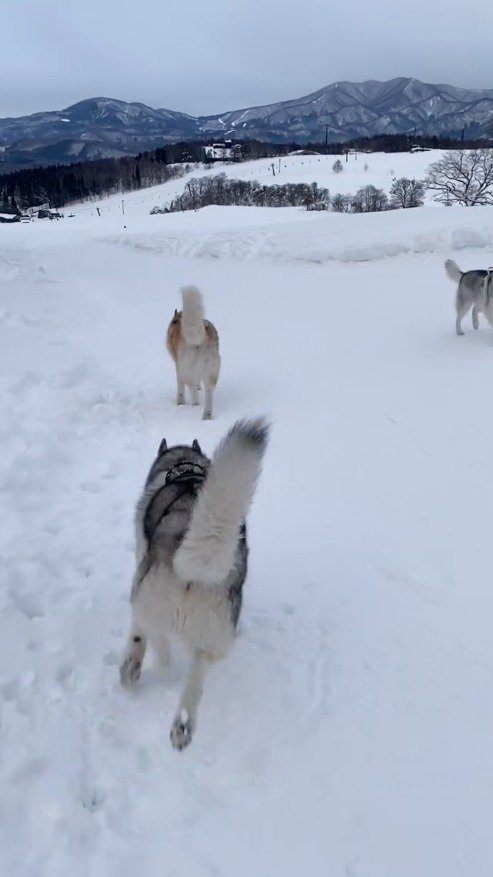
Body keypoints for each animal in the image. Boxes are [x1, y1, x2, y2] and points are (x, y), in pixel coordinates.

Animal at [119, 420, 270, 748]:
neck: (184, 469)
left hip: (145, 596)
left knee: (153, 643)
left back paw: (134, 669)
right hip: (216, 633)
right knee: (196, 677)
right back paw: (183, 726)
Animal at [166, 286, 220, 420]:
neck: (178, 319)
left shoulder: (178, 365)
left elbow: (181, 386)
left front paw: (180, 402)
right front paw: (198, 387)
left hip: (187, 367)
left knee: (189, 386)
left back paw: (193, 403)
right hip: (211, 368)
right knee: (209, 392)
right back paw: (207, 415)